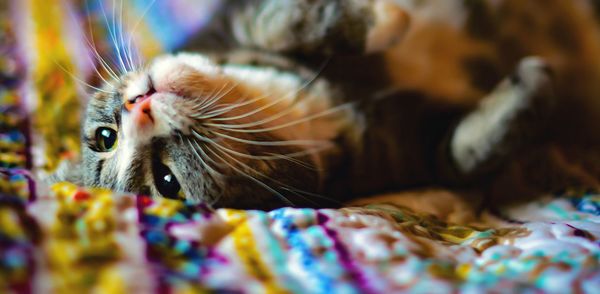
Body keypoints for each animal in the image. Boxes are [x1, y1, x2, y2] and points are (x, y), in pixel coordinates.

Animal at [56, 1, 600, 210]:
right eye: (166, 181)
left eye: (104, 138)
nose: (138, 107)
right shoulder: (406, 149)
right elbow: (464, 150)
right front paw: (535, 81)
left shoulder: (233, 19)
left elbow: (280, 19)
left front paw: (387, 20)